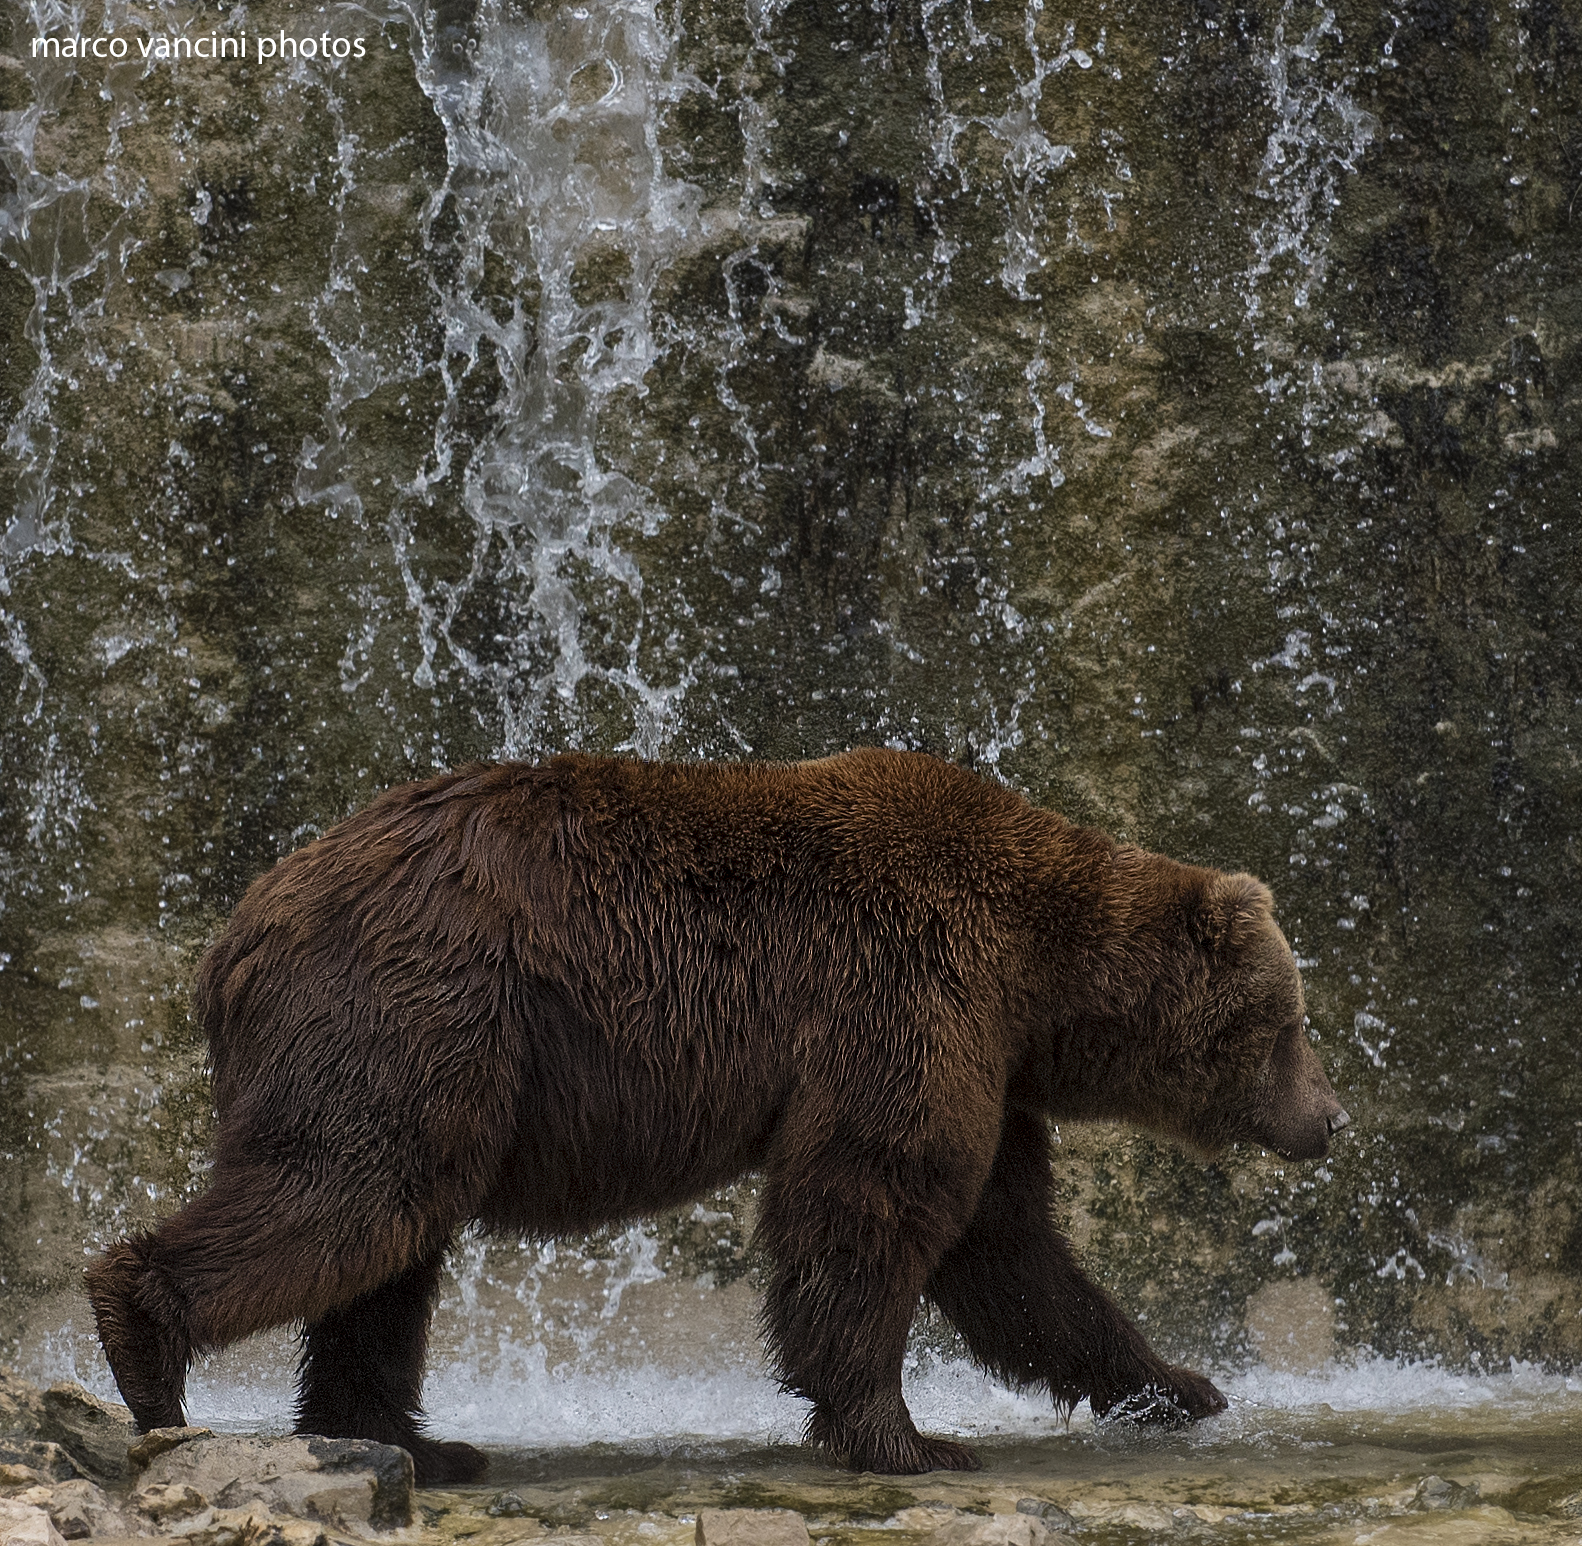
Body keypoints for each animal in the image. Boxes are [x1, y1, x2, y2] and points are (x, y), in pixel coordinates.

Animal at [86, 749, 1349, 1484]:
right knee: (346, 1196)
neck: (1036, 972)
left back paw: (417, 1441)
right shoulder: (906, 991)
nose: (1329, 1118)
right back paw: (145, 1348)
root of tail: (234, 934)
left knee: (389, 1252)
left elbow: (1011, 1247)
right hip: (411, 1009)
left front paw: (1178, 1385)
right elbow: (873, 1201)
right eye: (1289, 1021)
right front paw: (909, 1436)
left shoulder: (986, 1058)